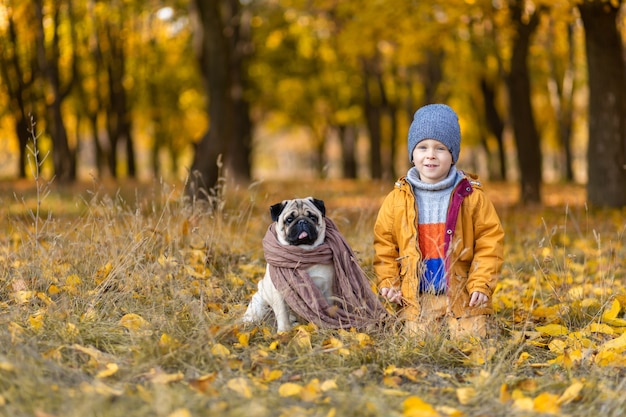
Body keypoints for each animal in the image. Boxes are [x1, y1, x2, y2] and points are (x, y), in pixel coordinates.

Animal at [241, 197, 334, 330]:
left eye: (312, 217)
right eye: (289, 220)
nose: (302, 221)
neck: (302, 253)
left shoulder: (326, 289)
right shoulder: (280, 291)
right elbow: (282, 314)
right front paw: (284, 331)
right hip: (259, 303)